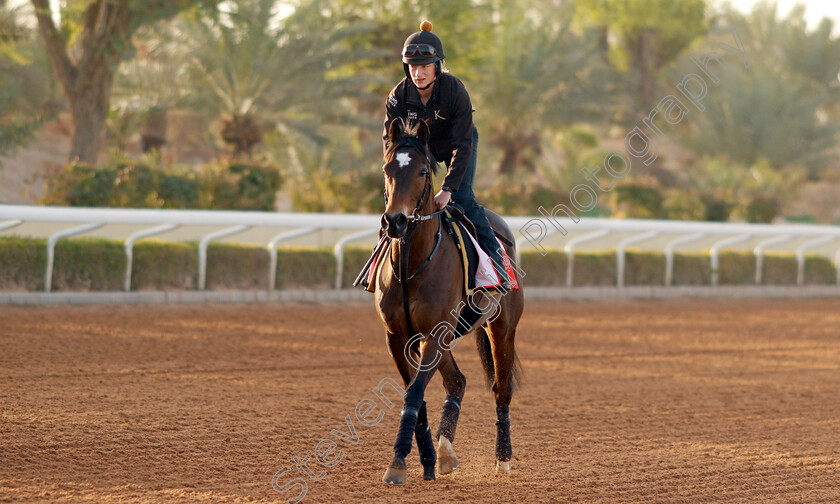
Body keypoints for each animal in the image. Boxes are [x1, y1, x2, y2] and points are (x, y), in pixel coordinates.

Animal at [376, 118, 520, 484]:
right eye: (387, 168)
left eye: (423, 171)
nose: (395, 221)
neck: (412, 266)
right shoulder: (398, 337)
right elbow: (415, 392)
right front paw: (425, 460)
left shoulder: (434, 332)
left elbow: (415, 391)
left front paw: (397, 463)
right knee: (457, 381)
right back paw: (444, 453)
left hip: (502, 328)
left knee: (502, 389)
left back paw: (503, 459)